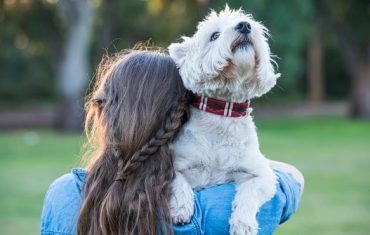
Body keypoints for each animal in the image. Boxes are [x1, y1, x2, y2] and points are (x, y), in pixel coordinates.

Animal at [168, 5, 280, 235]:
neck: (222, 114)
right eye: (214, 35)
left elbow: (250, 191)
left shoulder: (262, 174)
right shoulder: (176, 163)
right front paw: (182, 209)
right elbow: (178, 181)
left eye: (246, 22)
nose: (245, 25)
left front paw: (243, 224)